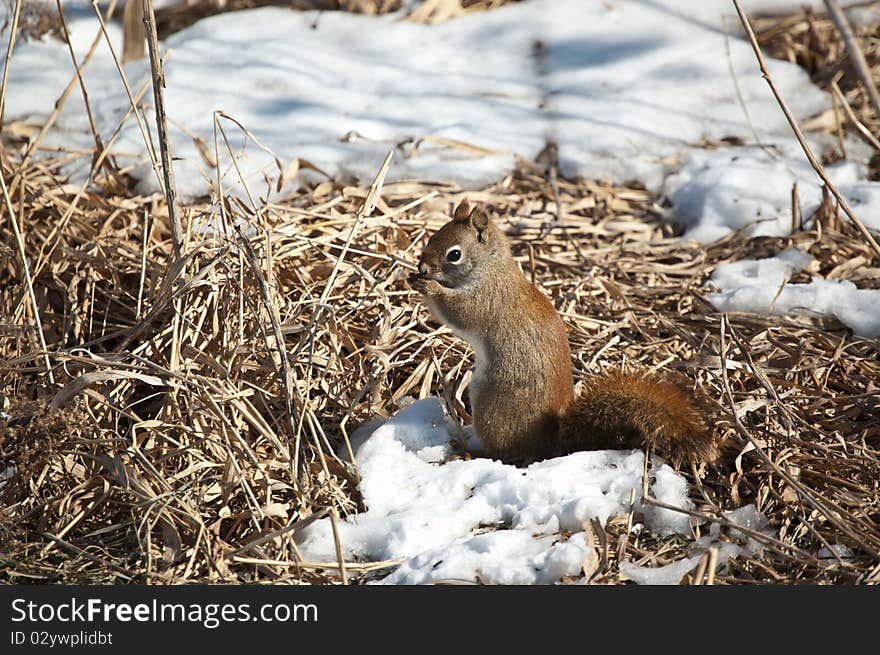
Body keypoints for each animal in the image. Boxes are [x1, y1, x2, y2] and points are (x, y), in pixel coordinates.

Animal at [410, 200, 720, 466]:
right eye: (433, 237)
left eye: (454, 254)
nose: (421, 266)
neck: (491, 268)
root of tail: (549, 441)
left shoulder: (487, 300)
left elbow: (459, 312)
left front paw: (429, 287)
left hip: (490, 402)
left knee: (502, 452)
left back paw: (470, 450)